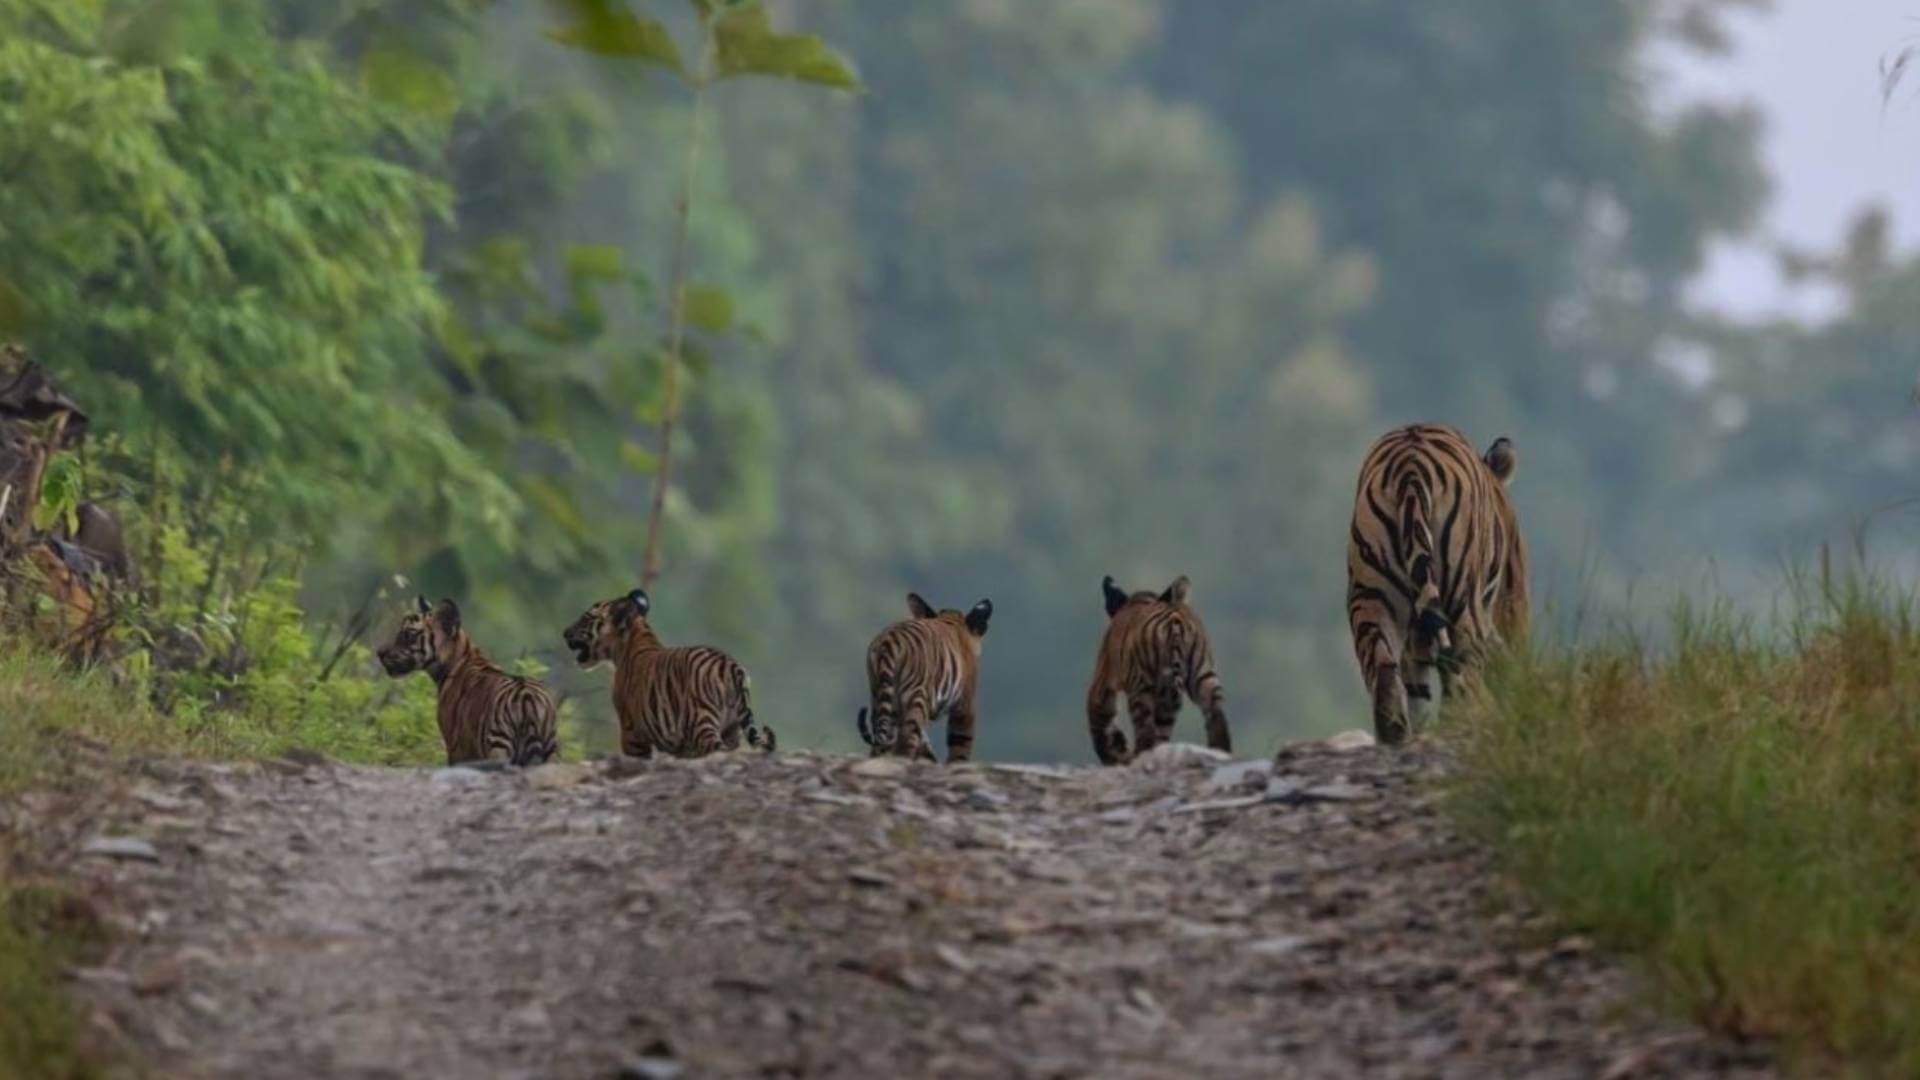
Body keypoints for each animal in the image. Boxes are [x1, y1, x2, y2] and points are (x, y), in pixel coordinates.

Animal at [560, 588, 768, 757]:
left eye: (586, 618)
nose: (565, 632)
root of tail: (730, 664)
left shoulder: (631, 731)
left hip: (702, 723)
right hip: (732, 730)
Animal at [864, 591, 998, 760]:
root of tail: (889, 641)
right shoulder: (965, 705)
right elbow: (961, 746)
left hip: (880, 698)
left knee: (880, 745)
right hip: (916, 697)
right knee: (906, 742)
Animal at [1090, 576, 1221, 760]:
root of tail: (1174, 619)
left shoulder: (1102, 680)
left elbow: (1098, 724)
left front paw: (1115, 754)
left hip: (1140, 688)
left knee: (1145, 735)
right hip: (1205, 677)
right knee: (1216, 718)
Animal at [1351, 420, 1528, 737]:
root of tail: (1410, 469)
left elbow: (1417, 689)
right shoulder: (1511, 598)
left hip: (1370, 597)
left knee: (1386, 682)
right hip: (1462, 603)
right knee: (1463, 681)